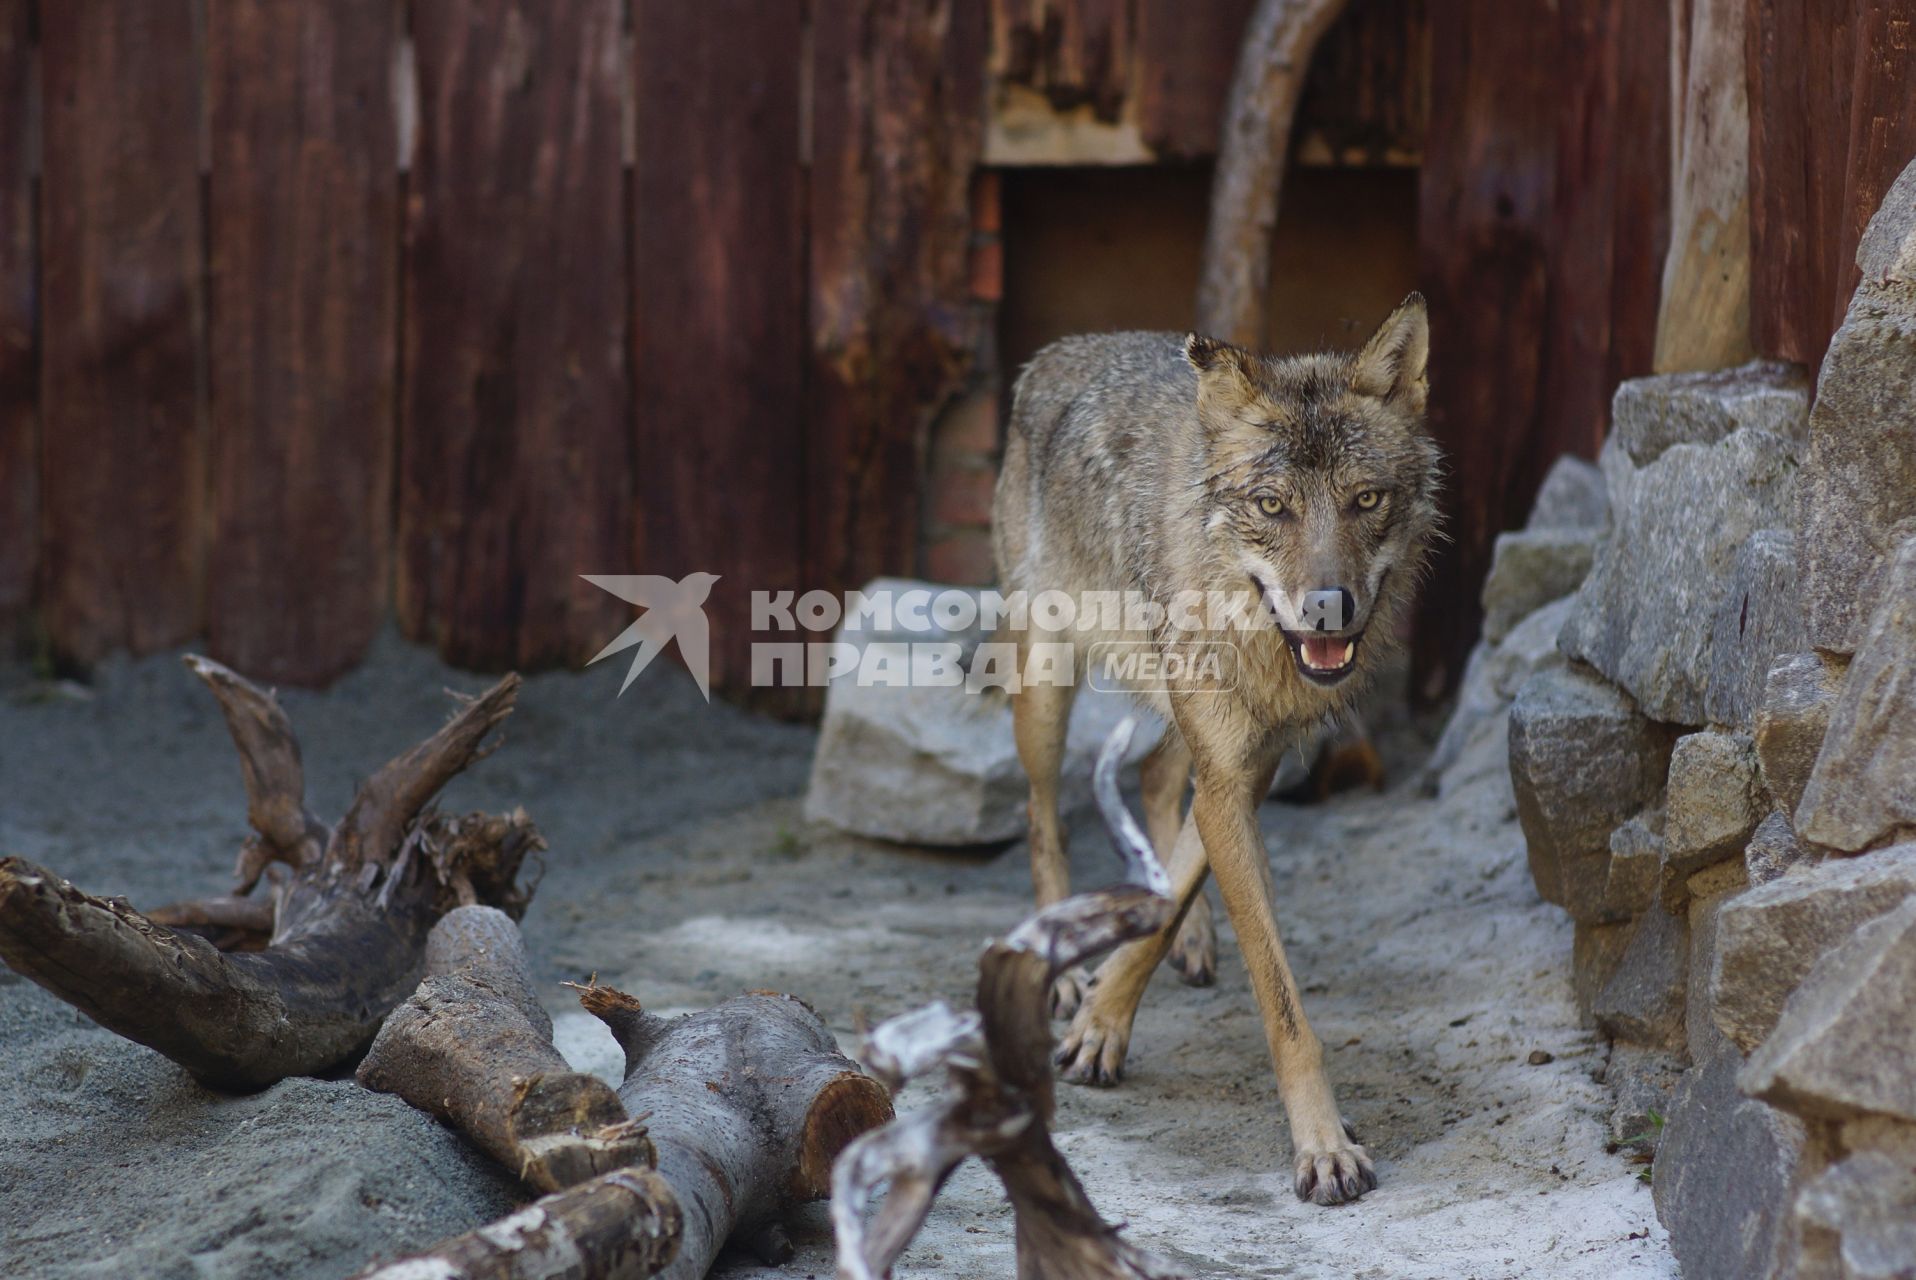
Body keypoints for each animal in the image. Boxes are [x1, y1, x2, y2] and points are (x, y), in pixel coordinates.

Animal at [996, 295, 1433, 1203]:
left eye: (1366, 499)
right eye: (1271, 506)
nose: (1329, 607)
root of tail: (1061, 349)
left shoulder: (1250, 767)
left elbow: (1182, 881)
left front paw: (1106, 1021)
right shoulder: (1229, 774)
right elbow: (1283, 1000)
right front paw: (1323, 1148)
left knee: (1159, 784)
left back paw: (1185, 941)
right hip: (1044, 687)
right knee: (1041, 812)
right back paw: (1060, 972)